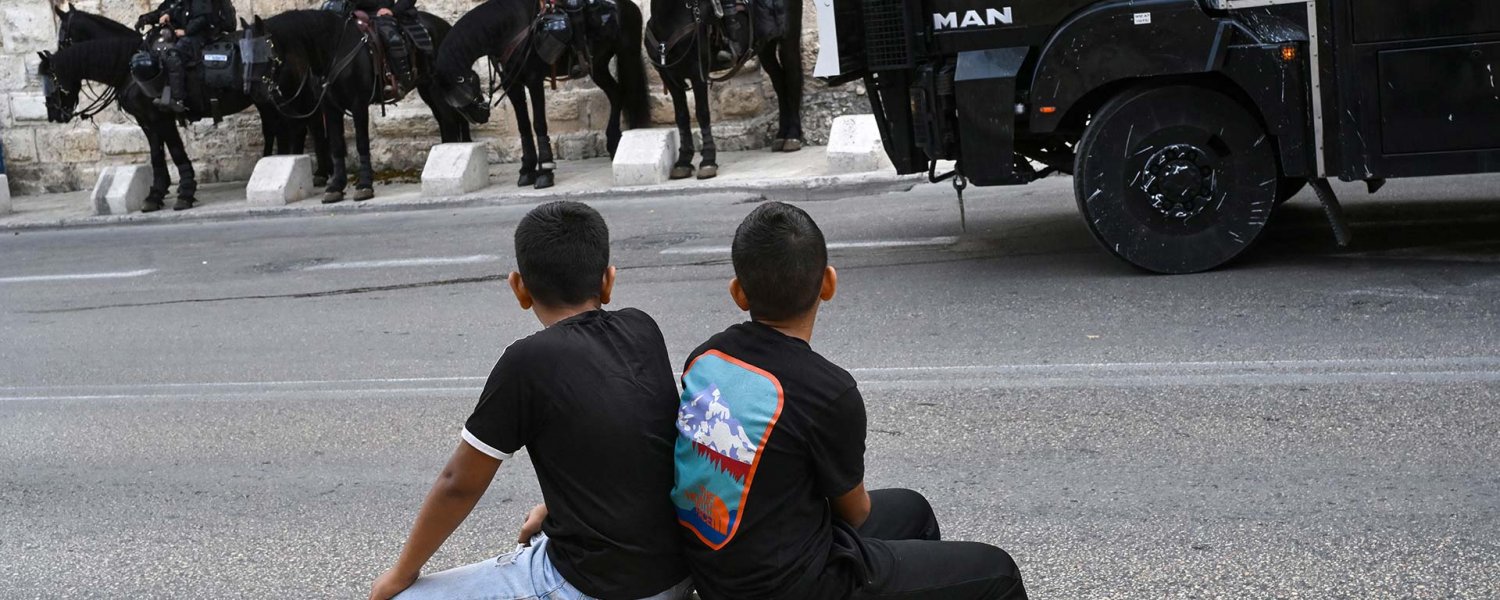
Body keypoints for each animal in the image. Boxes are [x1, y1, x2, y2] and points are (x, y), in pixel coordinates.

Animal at [246, 8, 477, 204]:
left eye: (264, 50)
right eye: (245, 52)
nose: (254, 91)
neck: (334, 51)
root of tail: (446, 25)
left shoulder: (358, 105)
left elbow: (361, 143)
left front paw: (365, 184)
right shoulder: (330, 108)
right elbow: (337, 146)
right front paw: (336, 187)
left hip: (437, 88)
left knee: (449, 119)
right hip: (427, 90)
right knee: (446, 120)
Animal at [429, 0, 651, 189]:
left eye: (460, 94)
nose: (480, 117)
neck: (508, 28)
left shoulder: (534, 80)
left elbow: (538, 123)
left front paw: (545, 171)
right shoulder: (513, 85)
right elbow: (524, 127)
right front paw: (526, 170)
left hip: (627, 54)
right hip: (598, 66)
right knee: (616, 94)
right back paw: (615, 143)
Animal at [648, 0, 804, 179]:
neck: (670, 18)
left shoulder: (697, 73)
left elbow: (702, 114)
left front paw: (708, 161)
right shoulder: (669, 78)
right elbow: (681, 117)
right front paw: (683, 162)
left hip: (789, 40)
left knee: (793, 79)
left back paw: (793, 136)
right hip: (765, 48)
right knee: (779, 84)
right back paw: (781, 136)